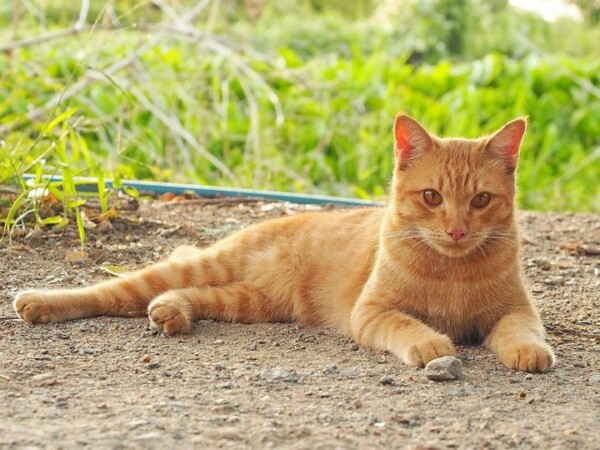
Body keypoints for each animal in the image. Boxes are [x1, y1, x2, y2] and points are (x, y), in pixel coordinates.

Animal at [13, 114, 555, 373]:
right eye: (432, 197)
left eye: (481, 200)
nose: (457, 230)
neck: (451, 270)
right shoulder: (372, 312)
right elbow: (407, 325)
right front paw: (430, 342)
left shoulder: (517, 309)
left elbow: (520, 330)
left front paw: (529, 352)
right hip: (203, 268)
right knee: (114, 291)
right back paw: (38, 303)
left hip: (249, 302)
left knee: (182, 297)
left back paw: (171, 313)